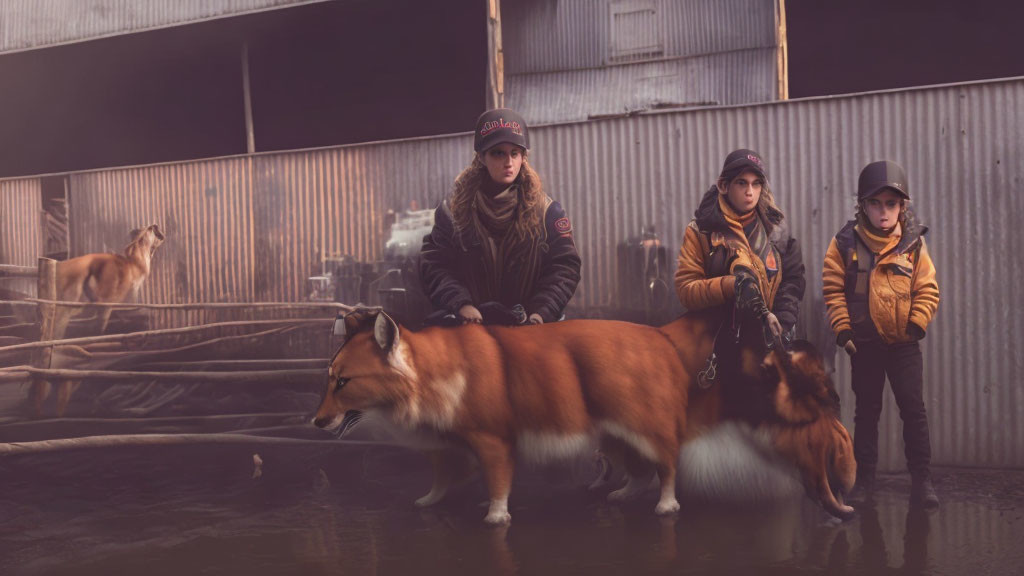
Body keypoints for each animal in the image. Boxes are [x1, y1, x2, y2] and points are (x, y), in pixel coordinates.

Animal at [311, 307, 856, 522]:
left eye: (344, 382)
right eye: (328, 377)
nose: (316, 423)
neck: (434, 372)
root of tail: (663, 339)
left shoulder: (494, 441)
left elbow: (499, 484)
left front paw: (495, 516)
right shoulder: (450, 448)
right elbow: (444, 478)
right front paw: (430, 501)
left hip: (644, 429)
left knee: (667, 467)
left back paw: (665, 506)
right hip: (614, 433)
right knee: (637, 472)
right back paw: (620, 494)